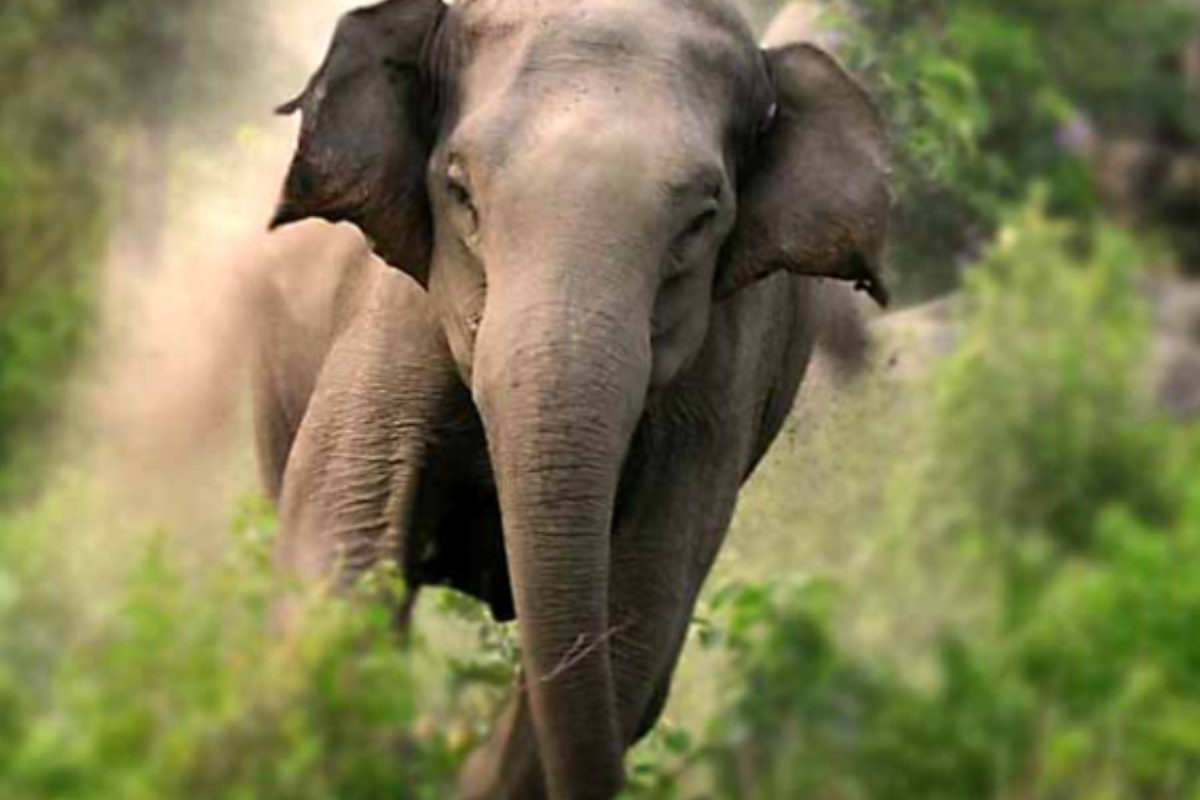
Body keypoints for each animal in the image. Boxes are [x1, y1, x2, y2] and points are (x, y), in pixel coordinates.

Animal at [257, 0, 891, 797]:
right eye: (460, 192)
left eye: (702, 218)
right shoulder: (393, 312)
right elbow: (340, 548)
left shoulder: (719, 381)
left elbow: (639, 618)